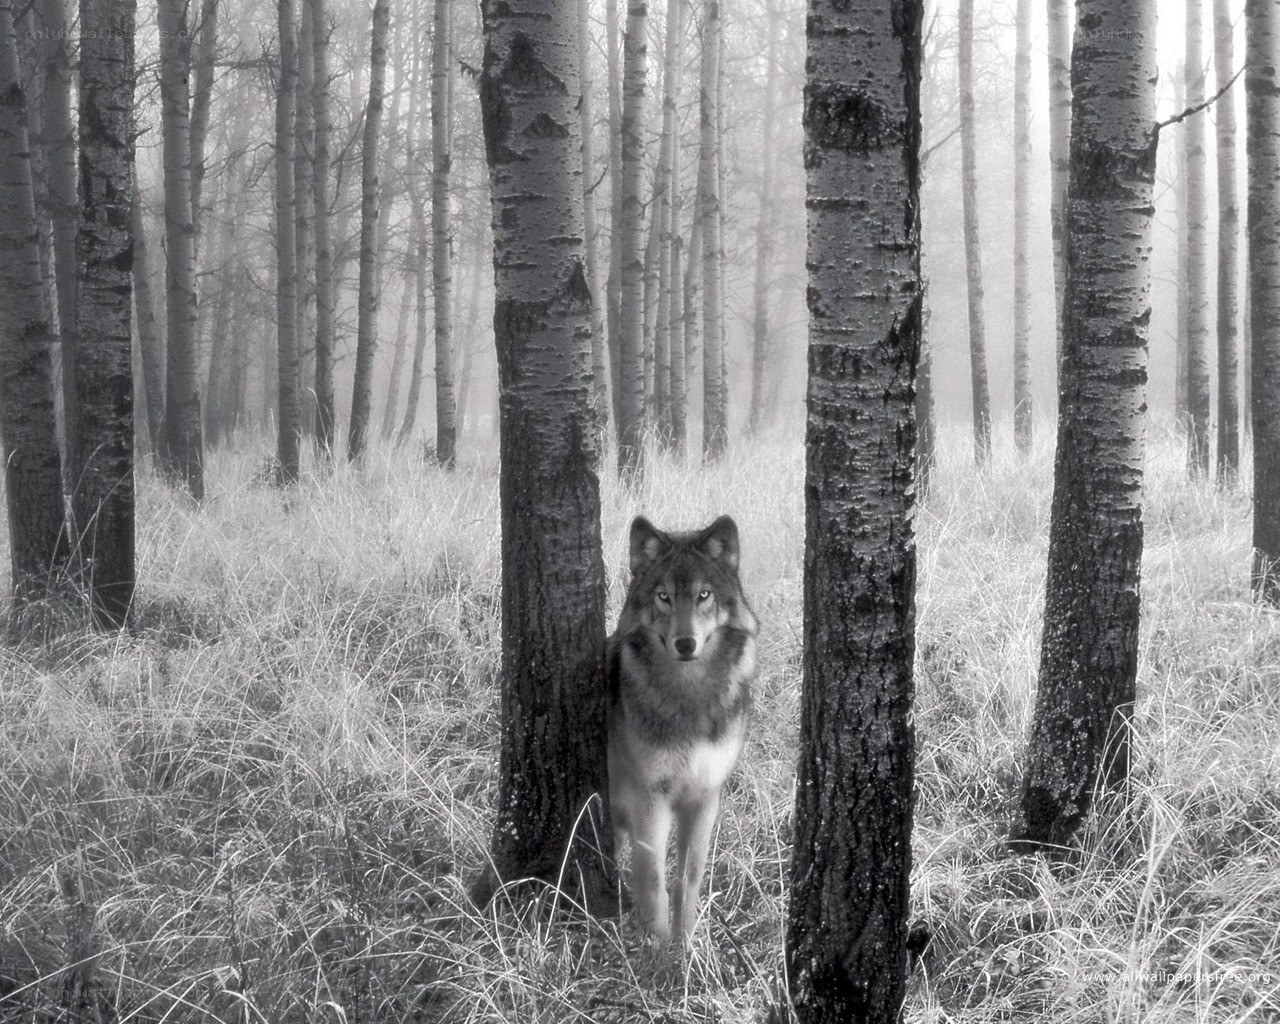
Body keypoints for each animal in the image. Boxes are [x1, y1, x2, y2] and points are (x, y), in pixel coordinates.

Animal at [607, 514, 758, 943]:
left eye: (704, 595)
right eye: (664, 597)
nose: (686, 643)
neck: (690, 695)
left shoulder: (705, 796)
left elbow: (688, 880)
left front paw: (685, 944)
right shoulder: (650, 797)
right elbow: (653, 880)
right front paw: (656, 949)